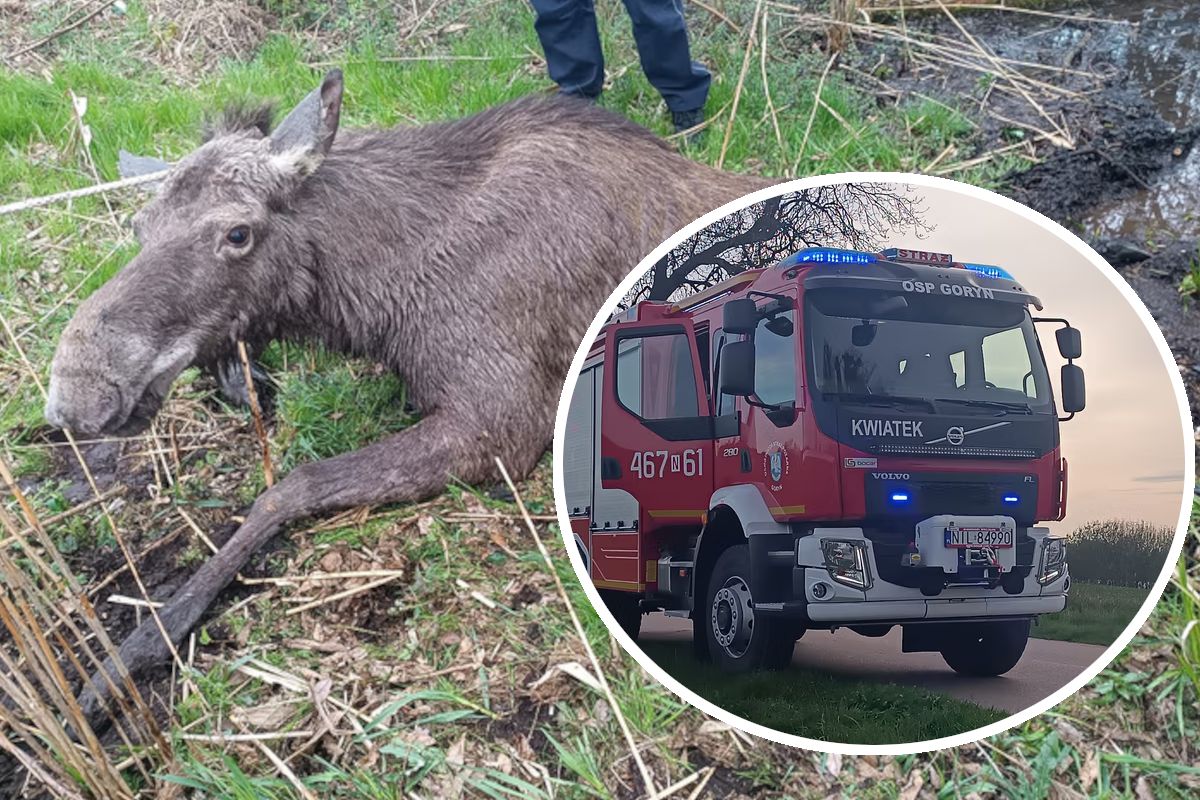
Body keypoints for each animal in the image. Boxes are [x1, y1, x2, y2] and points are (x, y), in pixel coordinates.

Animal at [46, 71, 768, 724]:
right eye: (140, 227)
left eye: (238, 233)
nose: (80, 391)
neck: (372, 292)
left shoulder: (500, 420)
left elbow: (288, 487)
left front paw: (134, 650)